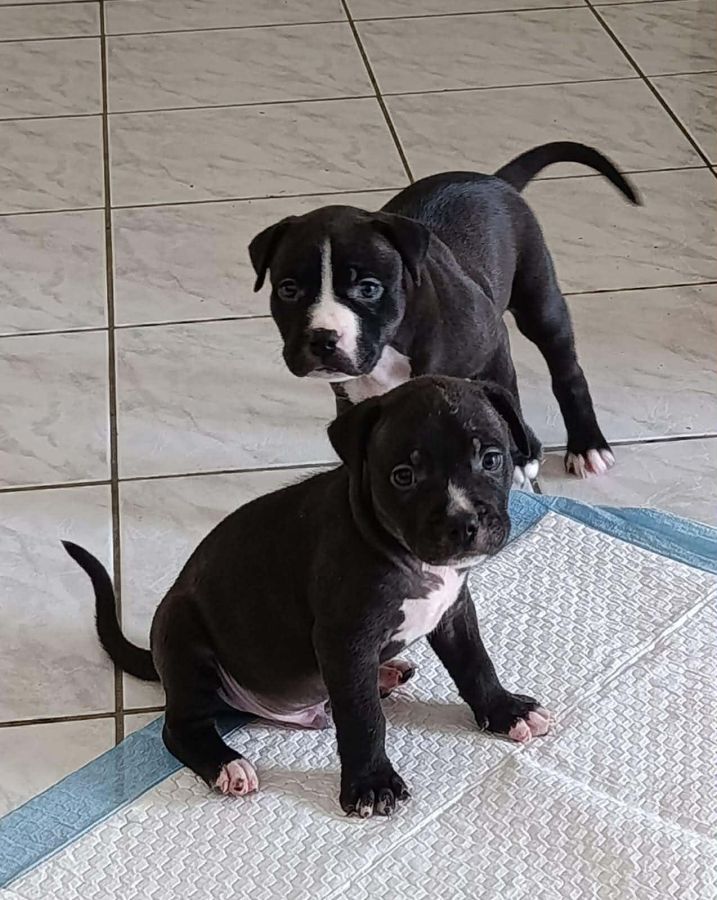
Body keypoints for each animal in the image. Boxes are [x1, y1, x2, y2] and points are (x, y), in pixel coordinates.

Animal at [64, 376, 551, 819]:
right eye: (404, 477)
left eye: (491, 459)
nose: (463, 523)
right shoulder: (345, 639)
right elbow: (362, 716)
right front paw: (371, 783)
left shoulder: (453, 611)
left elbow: (475, 663)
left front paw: (505, 711)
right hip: (184, 638)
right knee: (180, 729)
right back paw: (227, 765)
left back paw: (385, 674)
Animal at [249, 141, 640, 483]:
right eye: (288, 289)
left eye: (369, 289)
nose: (323, 339)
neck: (392, 347)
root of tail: (494, 180)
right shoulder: (352, 395)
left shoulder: (494, 345)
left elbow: (505, 399)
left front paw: (519, 457)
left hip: (539, 301)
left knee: (566, 369)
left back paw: (587, 446)